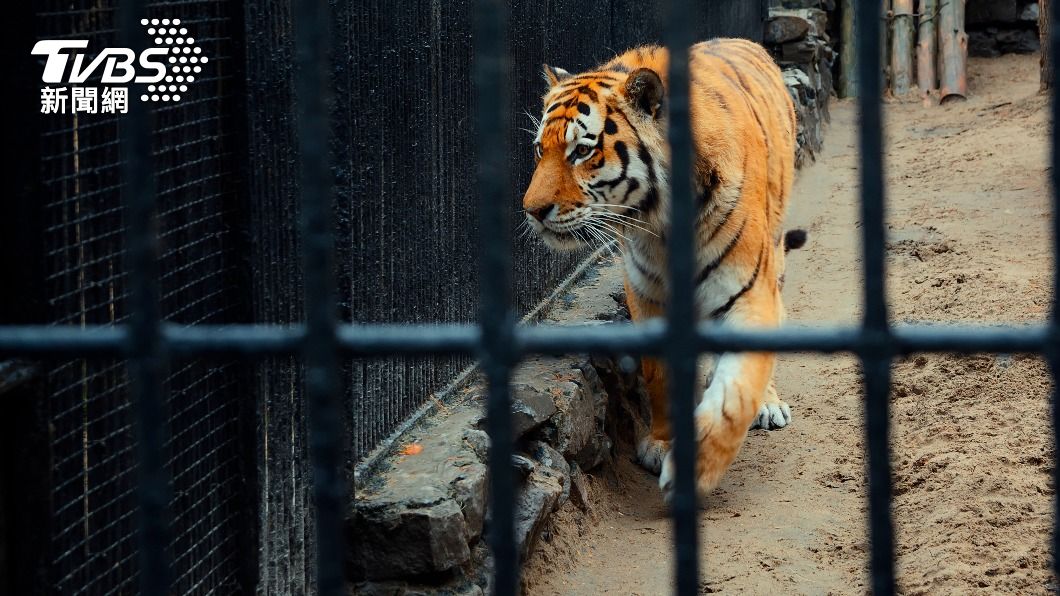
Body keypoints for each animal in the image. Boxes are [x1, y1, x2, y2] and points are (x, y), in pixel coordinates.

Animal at [521, 39, 802, 499]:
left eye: (582, 150)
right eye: (540, 150)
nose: (532, 211)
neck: (660, 223)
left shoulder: (748, 292)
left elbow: (736, 395)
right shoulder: (647, 294)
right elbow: (660, 377)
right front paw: (661, 443)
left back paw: (769, 403)